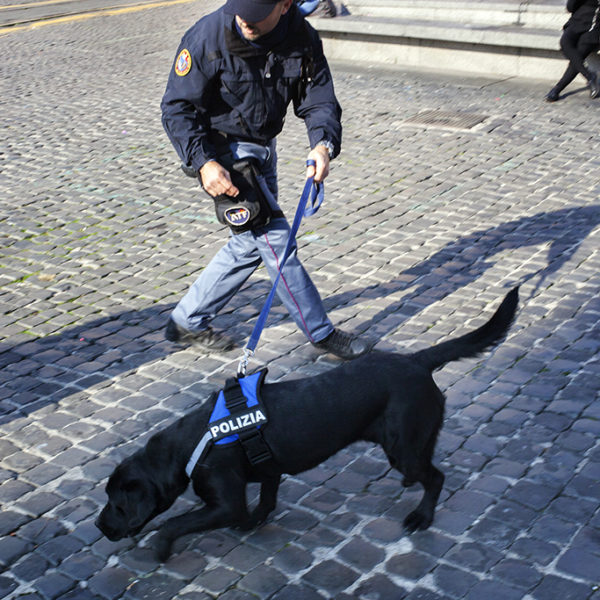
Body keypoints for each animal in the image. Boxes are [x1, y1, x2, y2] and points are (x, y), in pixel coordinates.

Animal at [96, 288, 516, 560]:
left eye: (116, 503)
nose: (100, 528)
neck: (195, 443)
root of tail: (415, 360)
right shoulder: (268, 472)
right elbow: (264, 502)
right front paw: (253, 523)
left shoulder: (225, 501)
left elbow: (175, 523)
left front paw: (160, 547)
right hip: (412, 441)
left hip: (403, 448)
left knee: (436, 477)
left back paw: (422, 517)